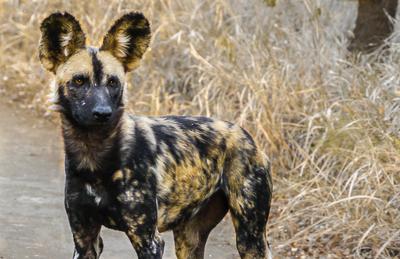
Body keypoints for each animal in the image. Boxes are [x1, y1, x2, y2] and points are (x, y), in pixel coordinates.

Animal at [38, 11, 272, 258]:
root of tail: (246, 135)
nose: (103, 113)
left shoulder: (148, 240)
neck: (93, 155)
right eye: (79, 80)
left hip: (250, 238)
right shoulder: (85, 239)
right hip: (188, 240)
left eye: (113, 82)